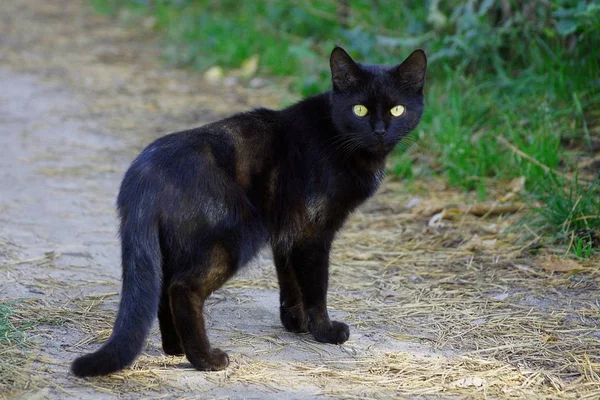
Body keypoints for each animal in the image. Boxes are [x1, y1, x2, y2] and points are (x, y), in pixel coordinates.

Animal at [70, 47, 426, 378]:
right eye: (359, 109)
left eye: (397, 109)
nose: (379, 131)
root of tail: (143, 173)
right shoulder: (313, 233)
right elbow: (315, 286)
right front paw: (324, 331)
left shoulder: (287, 232)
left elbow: (289, 281)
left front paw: (295, 323)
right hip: (232, 239)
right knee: (182, 290)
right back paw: (206, 360)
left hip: (175, 246)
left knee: (163, 290)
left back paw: (175, 348)